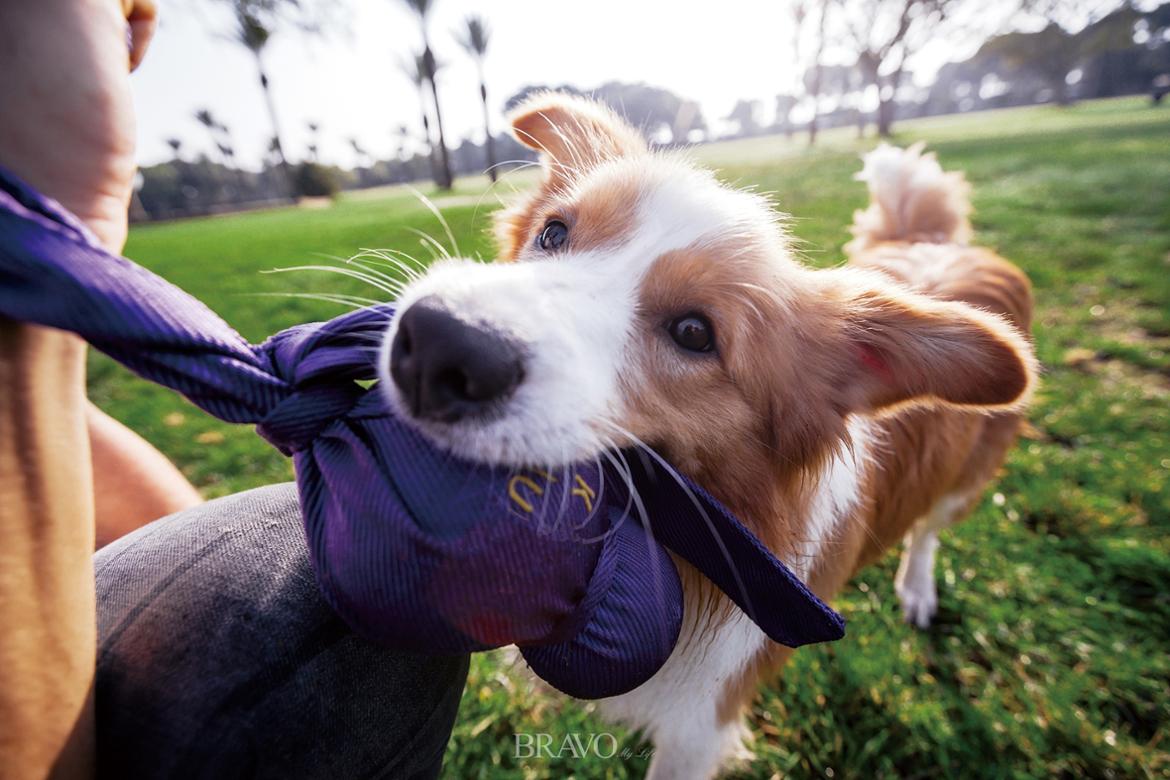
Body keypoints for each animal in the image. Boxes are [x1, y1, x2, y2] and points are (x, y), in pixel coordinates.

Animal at [379, 94, 1038, 776]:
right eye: (554, 232)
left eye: (695, 333)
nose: (438, 344)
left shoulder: (701, 724)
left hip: (965, 481)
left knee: (930, 528)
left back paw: (916, 587)